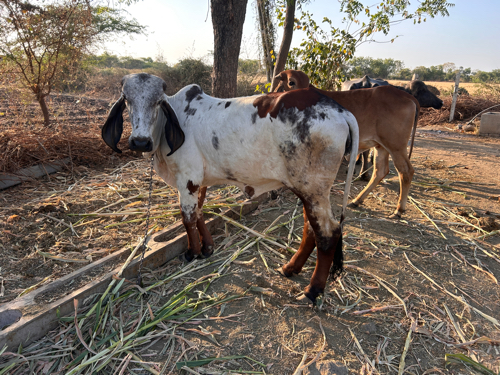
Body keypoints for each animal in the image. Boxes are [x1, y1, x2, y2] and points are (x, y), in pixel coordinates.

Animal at [276, 69, 420, 219]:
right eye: (291, 82)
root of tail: (406, 95)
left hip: (396, 146)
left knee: (406, 172)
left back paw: (399, 210)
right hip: (381, 146)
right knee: (380, 171)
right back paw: (357, 200)